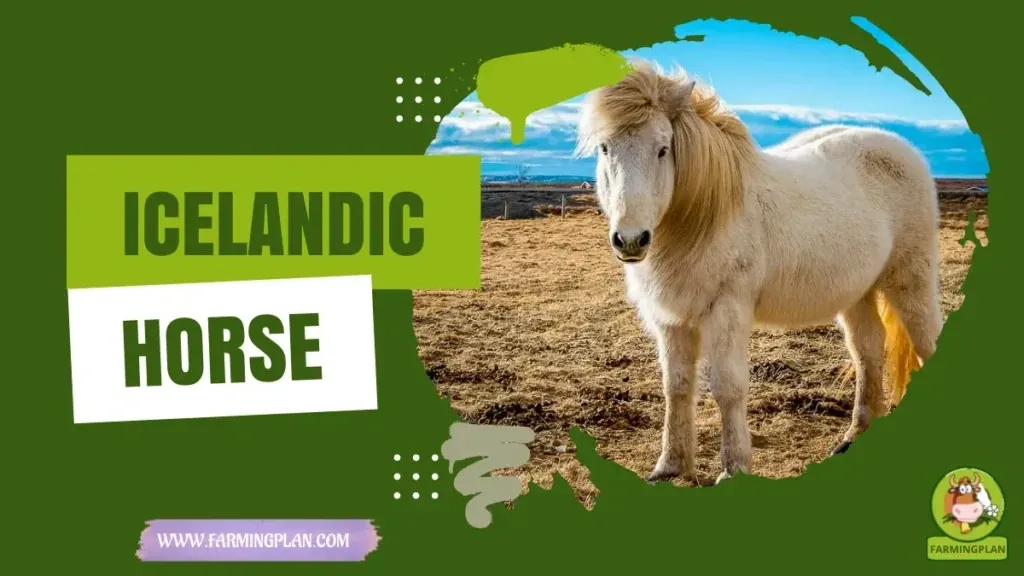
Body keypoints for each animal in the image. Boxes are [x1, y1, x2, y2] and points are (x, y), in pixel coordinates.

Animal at [575, 61, 942, 485]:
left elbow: (727, 387)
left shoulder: (728, 309)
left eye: (663, 148)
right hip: (857, 292)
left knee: (926, 341)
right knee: (868, 350)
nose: (631, 240)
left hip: (911, 281)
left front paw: (733, 469)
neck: (706, 215)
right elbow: (676, 386)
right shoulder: (671, 320)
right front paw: (670, 465)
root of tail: (904, 151)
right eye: (605, 148)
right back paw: (853, 436)